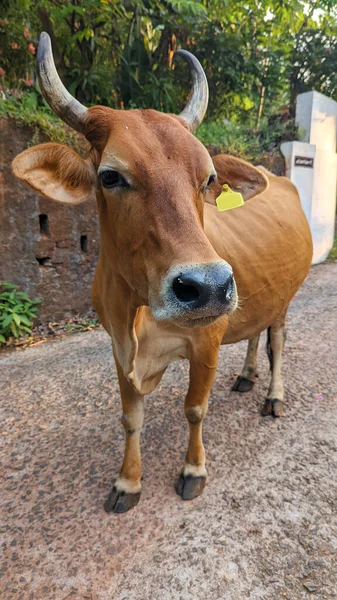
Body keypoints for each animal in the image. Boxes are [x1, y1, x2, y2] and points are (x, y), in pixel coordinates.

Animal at [11, 34, 312, 510]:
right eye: (110, 176)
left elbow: (195, 409)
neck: (137, 308)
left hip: (285, 297)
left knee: (277, 341)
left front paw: (193, 470)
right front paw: (127, 482)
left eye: (208, 179)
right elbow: (131, 418)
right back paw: (246, 377)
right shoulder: (118, 348)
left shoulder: (205, 344)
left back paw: (273, 395)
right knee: (255, 333)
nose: (209, 287)